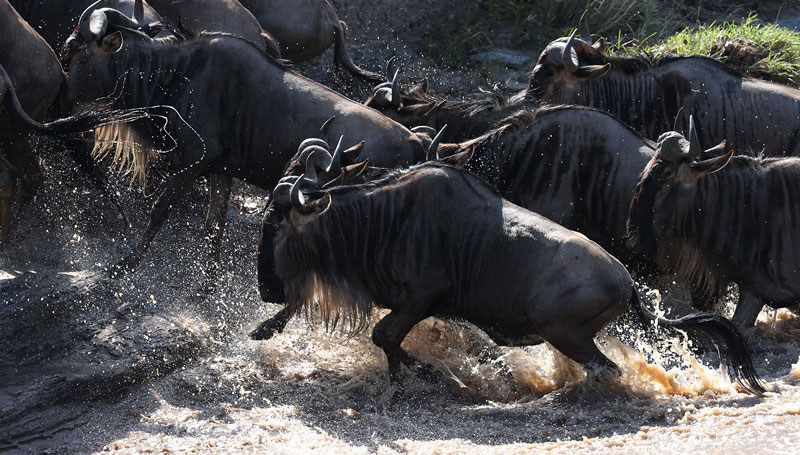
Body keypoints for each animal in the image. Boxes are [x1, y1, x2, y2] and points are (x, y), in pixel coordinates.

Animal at [259, 148, 764, 395]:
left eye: (275, 224)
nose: (265, 290)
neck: (380, 219)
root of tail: (627, 285)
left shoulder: (425, 295)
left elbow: (385, 337)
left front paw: (435, 378)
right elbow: (379, 337)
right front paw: (265, 327)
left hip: (562, 331)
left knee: (607, 371)